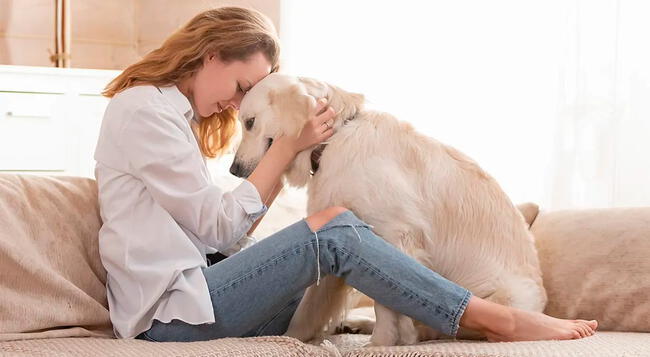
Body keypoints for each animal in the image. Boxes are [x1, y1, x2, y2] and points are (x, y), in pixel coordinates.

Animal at [230, 73, 544, 344]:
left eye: (249, 122)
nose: (234, 170)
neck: (336, 138)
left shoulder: (395, 235)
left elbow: (386, 302)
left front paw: (381, 343)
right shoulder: (336, 232)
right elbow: (309, 307)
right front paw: (291, 338)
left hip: (503, 296)